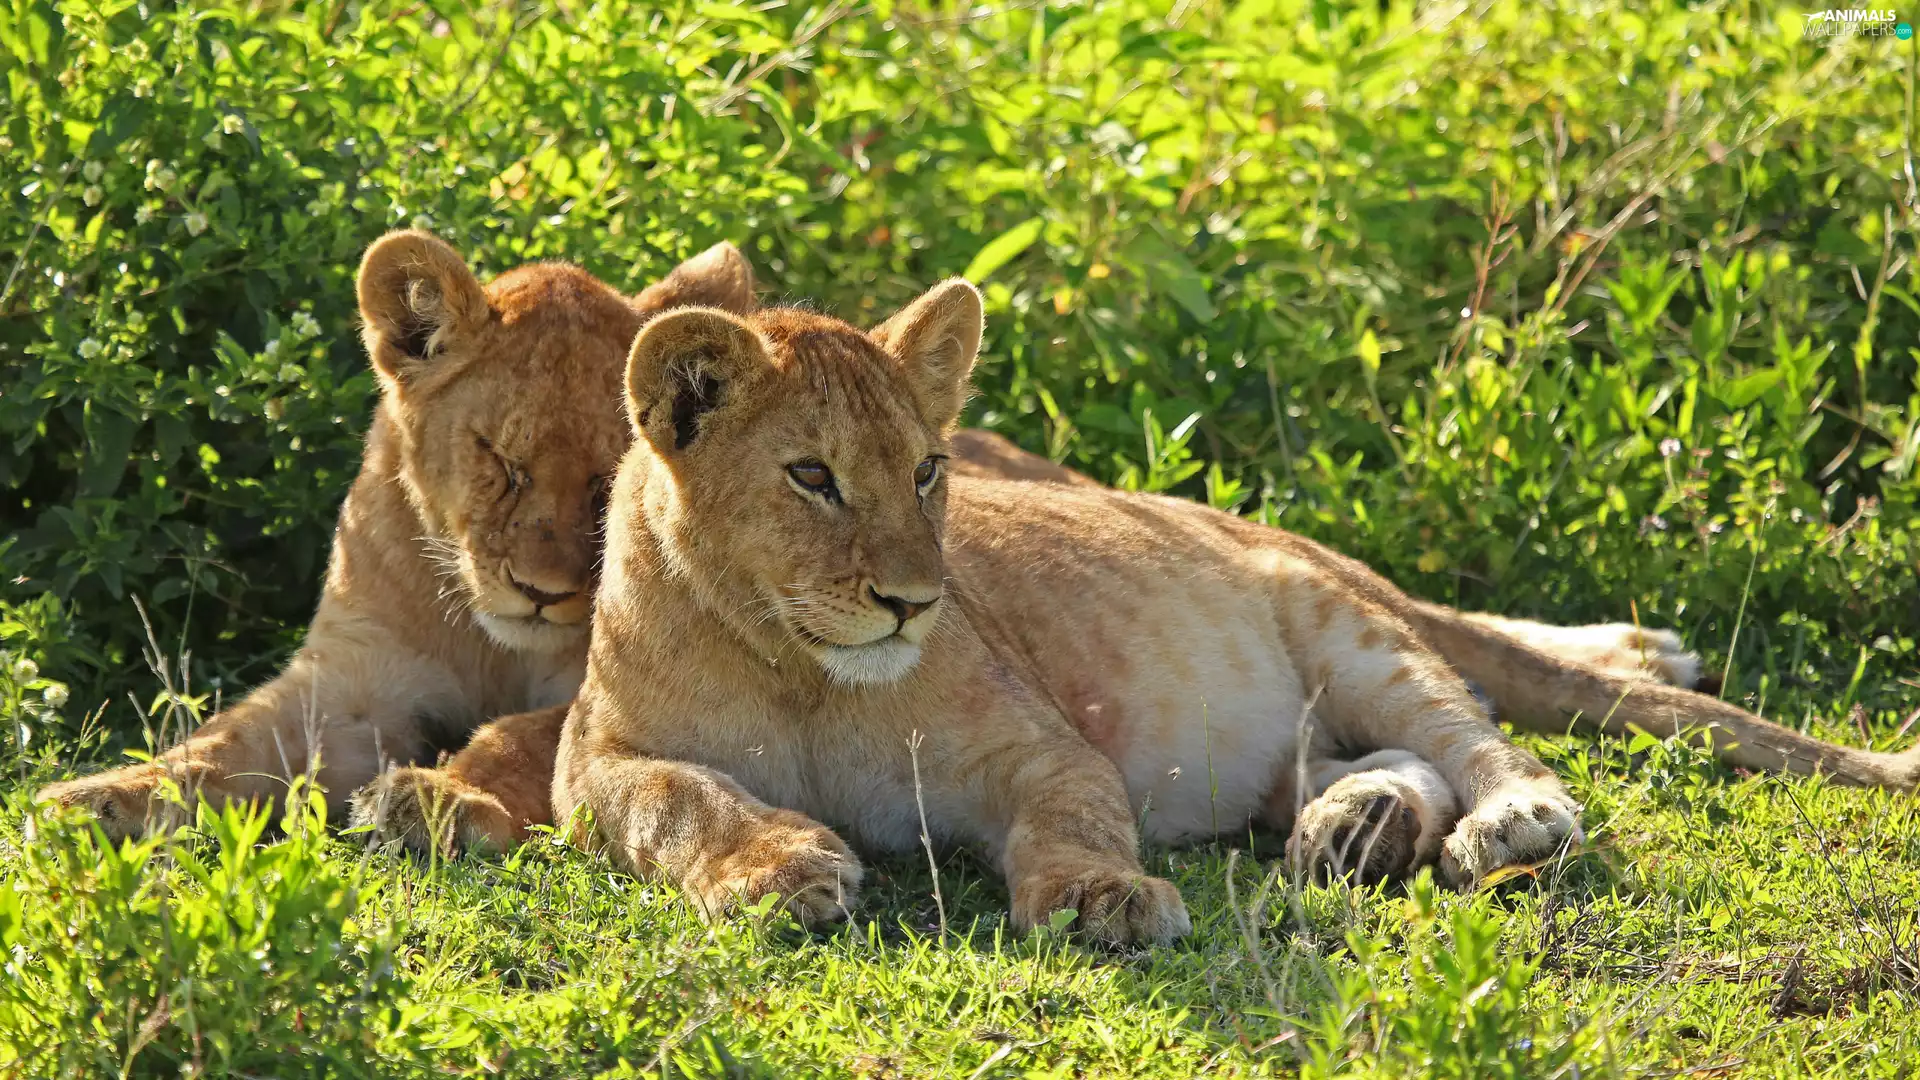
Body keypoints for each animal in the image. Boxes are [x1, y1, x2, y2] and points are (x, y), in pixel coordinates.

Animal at [551, 280, 1920, 943]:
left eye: (929, 470)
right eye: (813, 477)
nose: (912, 601)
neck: (796, 663)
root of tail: (1275, 533)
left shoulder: (1041, 745)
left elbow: (1078, 813)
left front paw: (1105, 901)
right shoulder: (589, 759)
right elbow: (678, 800)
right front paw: (775, 869)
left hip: (1344, 626)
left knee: (1477, 727)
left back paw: (1512, 817)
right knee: (1376, 755)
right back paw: (1358, 827)